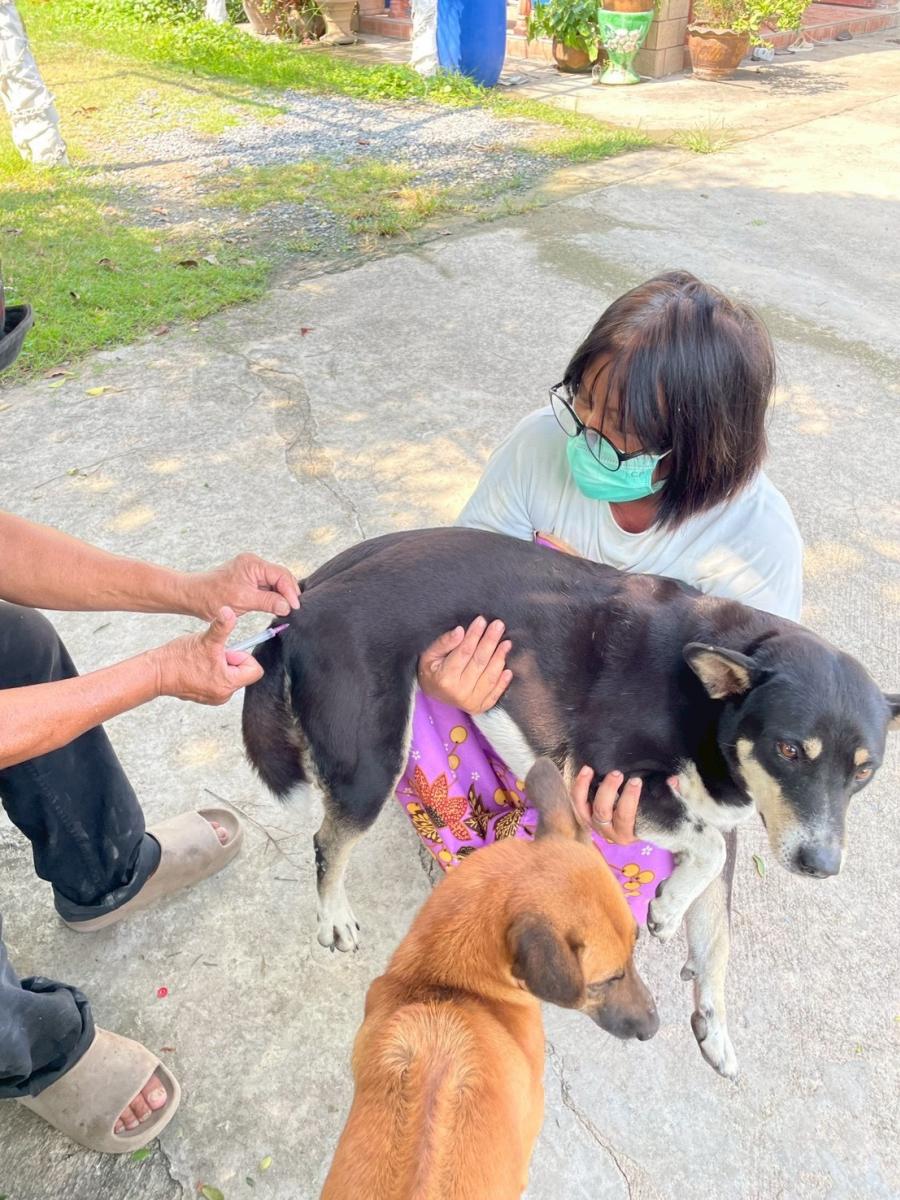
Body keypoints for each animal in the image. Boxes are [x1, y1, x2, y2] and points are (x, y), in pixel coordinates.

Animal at [242, 527, 899, 1078]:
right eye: (789, 749)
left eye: (865, 771)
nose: (820, 865)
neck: (707, 704)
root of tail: (305, 600)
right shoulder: (605, 772)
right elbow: (704, 849)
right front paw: (667, 909)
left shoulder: (722, 815)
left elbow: (717, 933)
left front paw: (715, 1026)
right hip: (373, 758)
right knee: (328, 840)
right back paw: (334, 916)